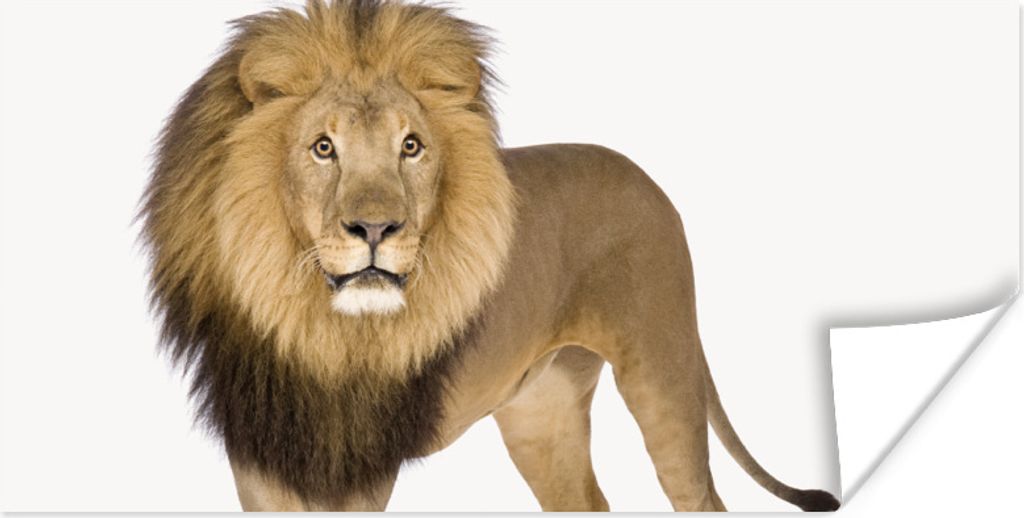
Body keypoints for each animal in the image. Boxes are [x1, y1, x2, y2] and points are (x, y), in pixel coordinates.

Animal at [140, 0, 839, 512]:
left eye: (412, 146)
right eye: (322, 147)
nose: (376, 227)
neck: (310, 327)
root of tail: (644, 177)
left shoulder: (361, 474)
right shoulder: (263, 464)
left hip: (661, 371)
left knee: (700, 496)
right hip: (541, 411)